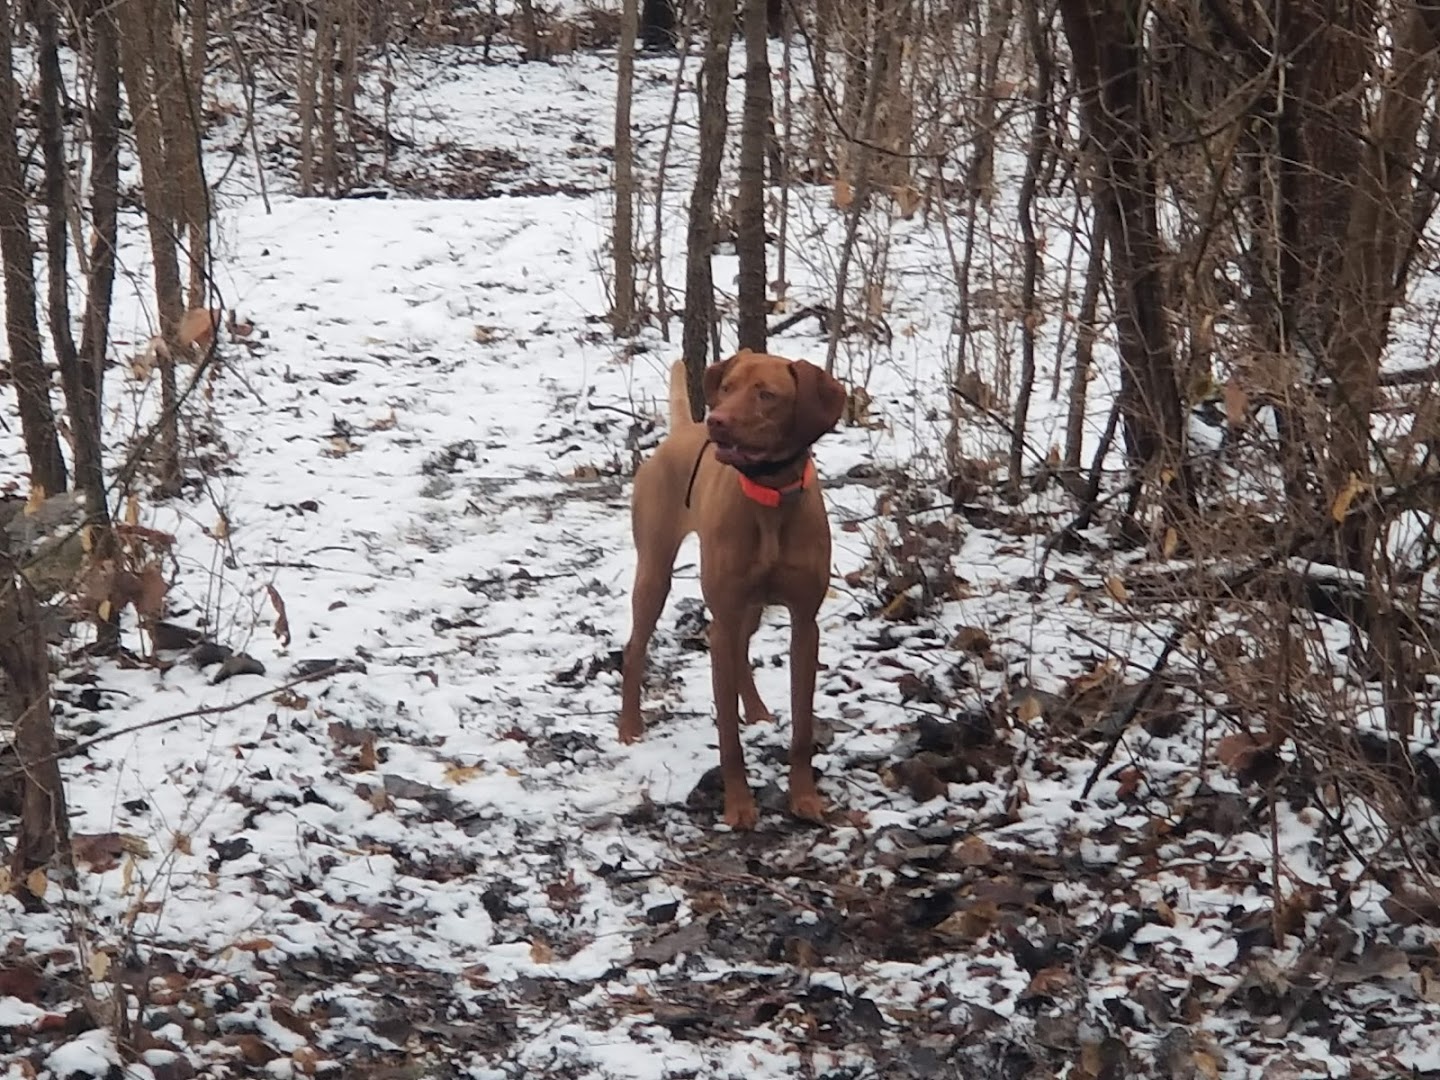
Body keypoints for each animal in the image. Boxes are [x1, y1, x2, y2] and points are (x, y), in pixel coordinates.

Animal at [616, 351, 840, 835]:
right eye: (728, 387)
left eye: (767, 395)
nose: (716, 421)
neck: (769, 496)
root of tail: (682, 430)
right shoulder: (722, 615)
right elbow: (728, 739)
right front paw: (738, 806)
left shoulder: (805, 623)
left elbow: (801, 728)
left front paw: (804, 798)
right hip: (655, 574)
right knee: (635, 646)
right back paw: (629, 727)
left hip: (749, 607)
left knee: (739, 648)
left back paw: (755, 710)